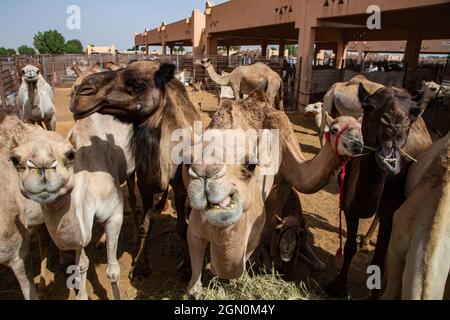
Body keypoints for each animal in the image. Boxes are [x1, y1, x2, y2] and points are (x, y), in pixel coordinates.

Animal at [11, 113, 135, 300]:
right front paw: (80, 291)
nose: (42, 169)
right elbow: (82, 263)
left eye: (69, 155)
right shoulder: (80, 223)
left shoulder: (114, 214)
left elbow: (113, 272)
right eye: (15, 160)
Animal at [69, 60, 201, 280]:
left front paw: (187, 268)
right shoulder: (144, 183)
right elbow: (144, 226)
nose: (81, 94)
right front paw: (139, 266)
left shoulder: (179, 185)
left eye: (137, 83)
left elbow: (183, 227)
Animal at [185, 90, 364, 298]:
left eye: (362, 130)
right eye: (334, 129)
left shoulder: (283, 182)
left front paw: (269, 260)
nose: (357, 146)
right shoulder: (196, 229)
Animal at [326, 84, 434, 298]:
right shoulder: (350, 207)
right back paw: (365, 240)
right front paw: (338, 286)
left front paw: (375, 294)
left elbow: (379, 258)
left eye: (413, 112)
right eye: (369, 107)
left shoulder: (391, 211)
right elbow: (349, 247)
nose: (394, 123)